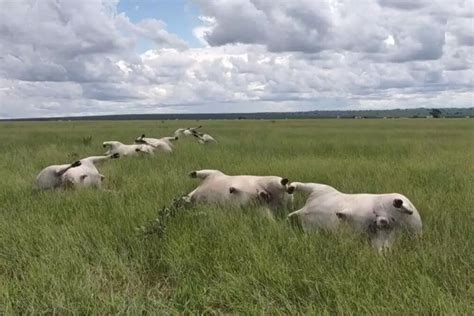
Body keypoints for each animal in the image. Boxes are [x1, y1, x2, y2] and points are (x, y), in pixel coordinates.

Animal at [286, 183, 422, 252]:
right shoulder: (311, 231)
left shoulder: (322, 188)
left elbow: (301, 185)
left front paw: (290, 187)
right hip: (384, 237)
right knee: (383, 248)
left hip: (398, 202)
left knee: (406, 208)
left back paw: (396, 205)